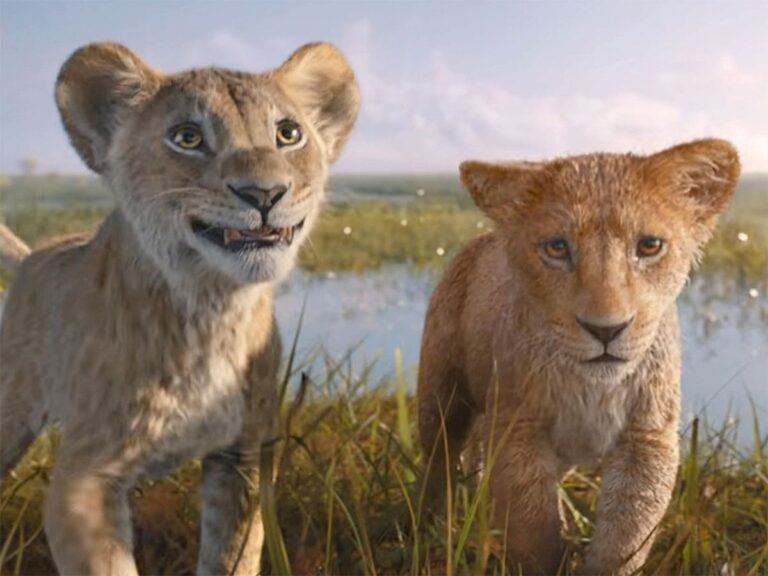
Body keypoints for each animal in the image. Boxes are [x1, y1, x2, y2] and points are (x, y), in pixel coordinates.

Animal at [0, 42, 359, 575]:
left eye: (288, 134)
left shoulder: (242, 459)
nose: (265, 193)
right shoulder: (83, 478)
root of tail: (32, 257)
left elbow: (233, 554)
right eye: (187, 137)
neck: (211, 309)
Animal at [417, 139, 740, 574]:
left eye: (650, 246)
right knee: (438, 460)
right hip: (441, 396)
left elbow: (625, 538)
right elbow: (534, 532)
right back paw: (430, 527)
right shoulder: (519, 428)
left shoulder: (647, 439)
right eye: (557, 247)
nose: (606, 330)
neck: (591, 387)